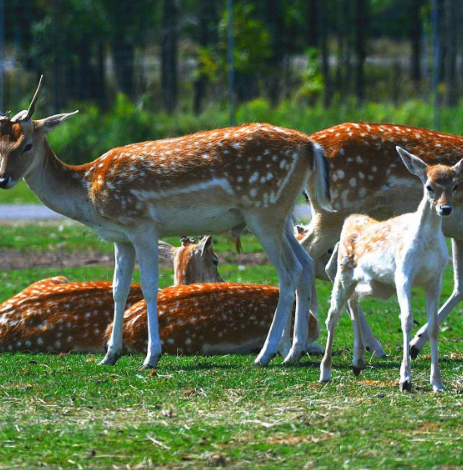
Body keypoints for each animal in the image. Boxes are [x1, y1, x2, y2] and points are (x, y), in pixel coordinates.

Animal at [0, 77, 334, 370]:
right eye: (0, 146)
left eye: (28, 145)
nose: (4, 179)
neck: (89, 193)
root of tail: (310, 146)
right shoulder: (120, 237)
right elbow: (118, 289)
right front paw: (109, 355)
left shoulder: (141, 225)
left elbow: (149, 286)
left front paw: (151, 357)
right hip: (281, 215)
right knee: (305, 265)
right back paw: (293, 352)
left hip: (263, 211)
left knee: (289, 272)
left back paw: (266, 355)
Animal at [302, 123, 463, 358]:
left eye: (456, 186)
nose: (446, 208)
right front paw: (414, 344)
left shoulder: (458, 234)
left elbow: (459, 287)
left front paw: (415, 344)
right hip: (333, 211)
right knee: (303, 255)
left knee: (328, 265)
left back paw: (371, 346)